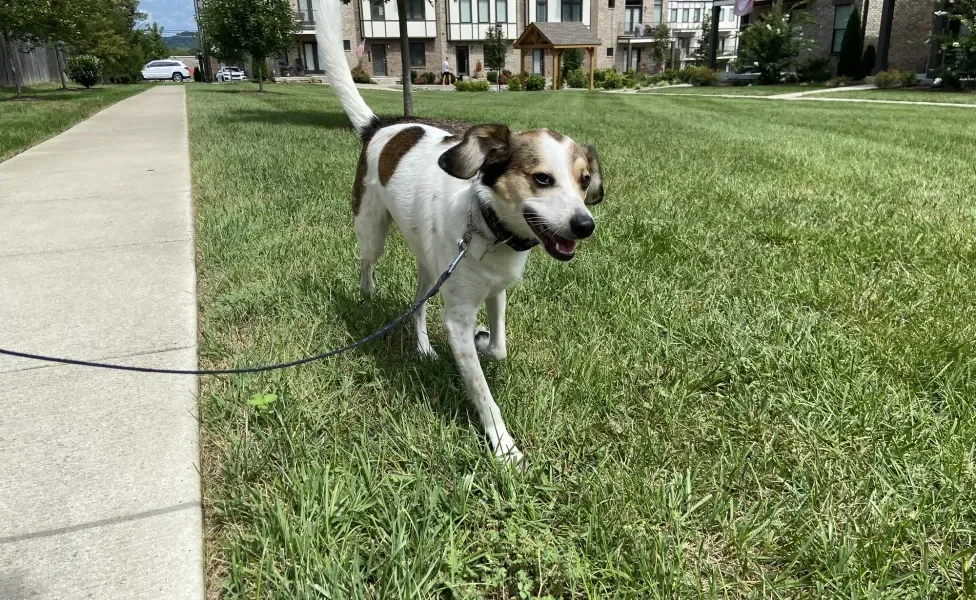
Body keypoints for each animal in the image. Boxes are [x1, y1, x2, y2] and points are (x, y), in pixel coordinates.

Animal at [316, 0, 604, 462]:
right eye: (542, 179)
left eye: (584, 180)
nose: (585, 225)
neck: (486, 225)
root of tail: (380, 125)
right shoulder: (457, 317)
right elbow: (483, 394)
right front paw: (503, 447)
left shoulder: (496, 290)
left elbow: (499, 346)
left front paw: (487, 340)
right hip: (372, 231)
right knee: (366, 264)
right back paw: (366, 295)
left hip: (429, 264)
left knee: (417, 304)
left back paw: (422, 347)